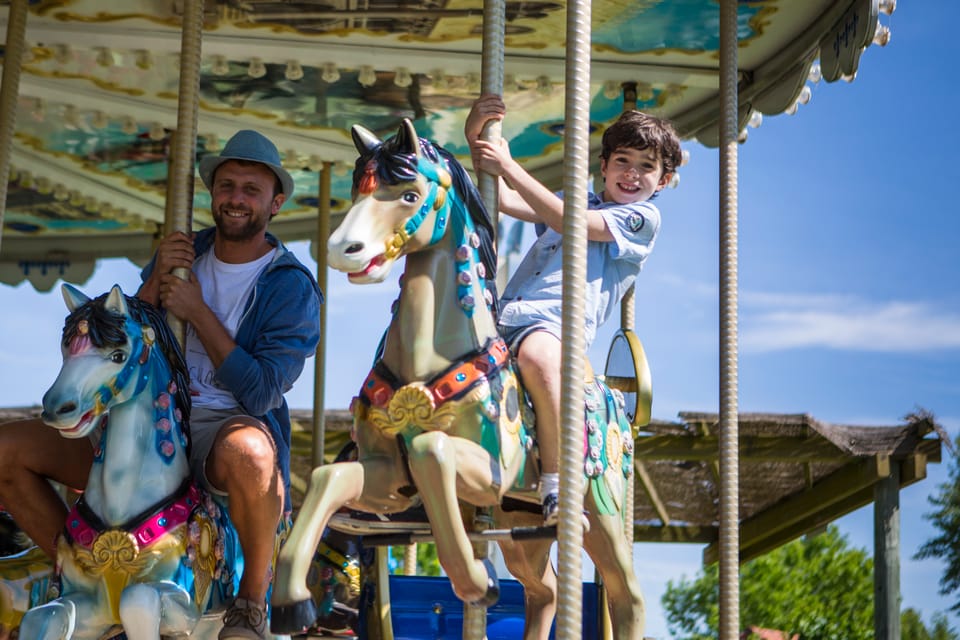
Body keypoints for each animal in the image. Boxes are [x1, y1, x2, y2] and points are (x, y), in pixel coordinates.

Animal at [271, 119, 645, 638]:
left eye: (409, 194)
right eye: (356, 189)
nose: (343, 250)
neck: (423, 368)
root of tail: (615, 401)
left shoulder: (492, 470)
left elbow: (433, 451)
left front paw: (476, 580)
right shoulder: (387, 476)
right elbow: (330, 477)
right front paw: (290, 600)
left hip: (601, 508)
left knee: (626, 594)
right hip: (517, 521)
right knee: (545, 590)